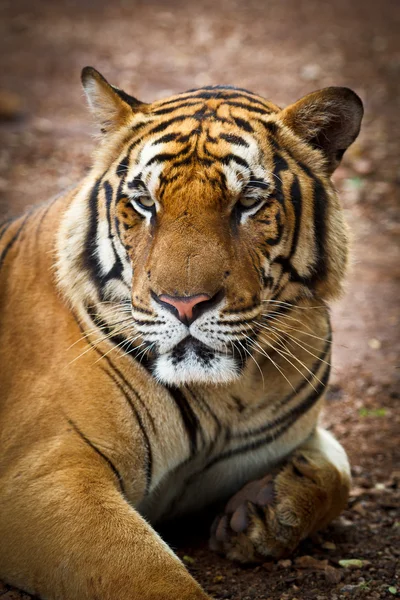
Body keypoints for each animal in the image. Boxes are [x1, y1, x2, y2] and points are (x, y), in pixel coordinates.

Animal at [0, 67, 362, 600]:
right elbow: (152, 578)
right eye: (144, 202)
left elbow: (341, 470)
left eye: (247, 202)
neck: (232, 393)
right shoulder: (43, 476)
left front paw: (264, 511)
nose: (184, 304)